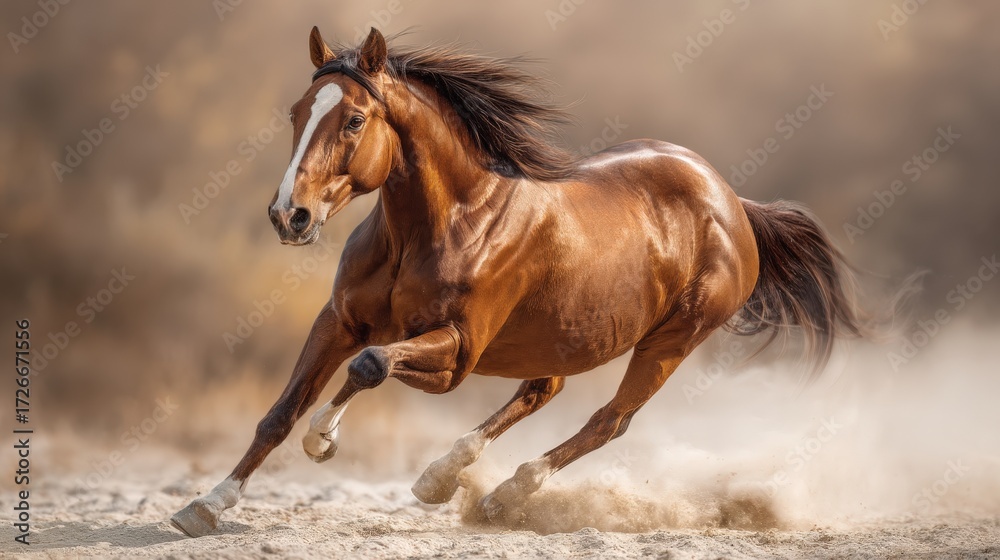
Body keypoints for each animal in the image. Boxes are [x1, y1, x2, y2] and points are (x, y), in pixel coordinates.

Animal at [171, 26, 869, 537]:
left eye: (353, 120)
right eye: (296, 112)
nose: (289, 216)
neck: (442, 223)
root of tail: (731, 202)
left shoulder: (457, 352)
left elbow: (370, 365)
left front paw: (323, 440)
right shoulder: (339, 320)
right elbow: (280, 412)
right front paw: (206, 504)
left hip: (669, 343)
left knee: (608, 421)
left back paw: (504, 496)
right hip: (564, 336)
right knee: (543, 391)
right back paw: (443, 479)